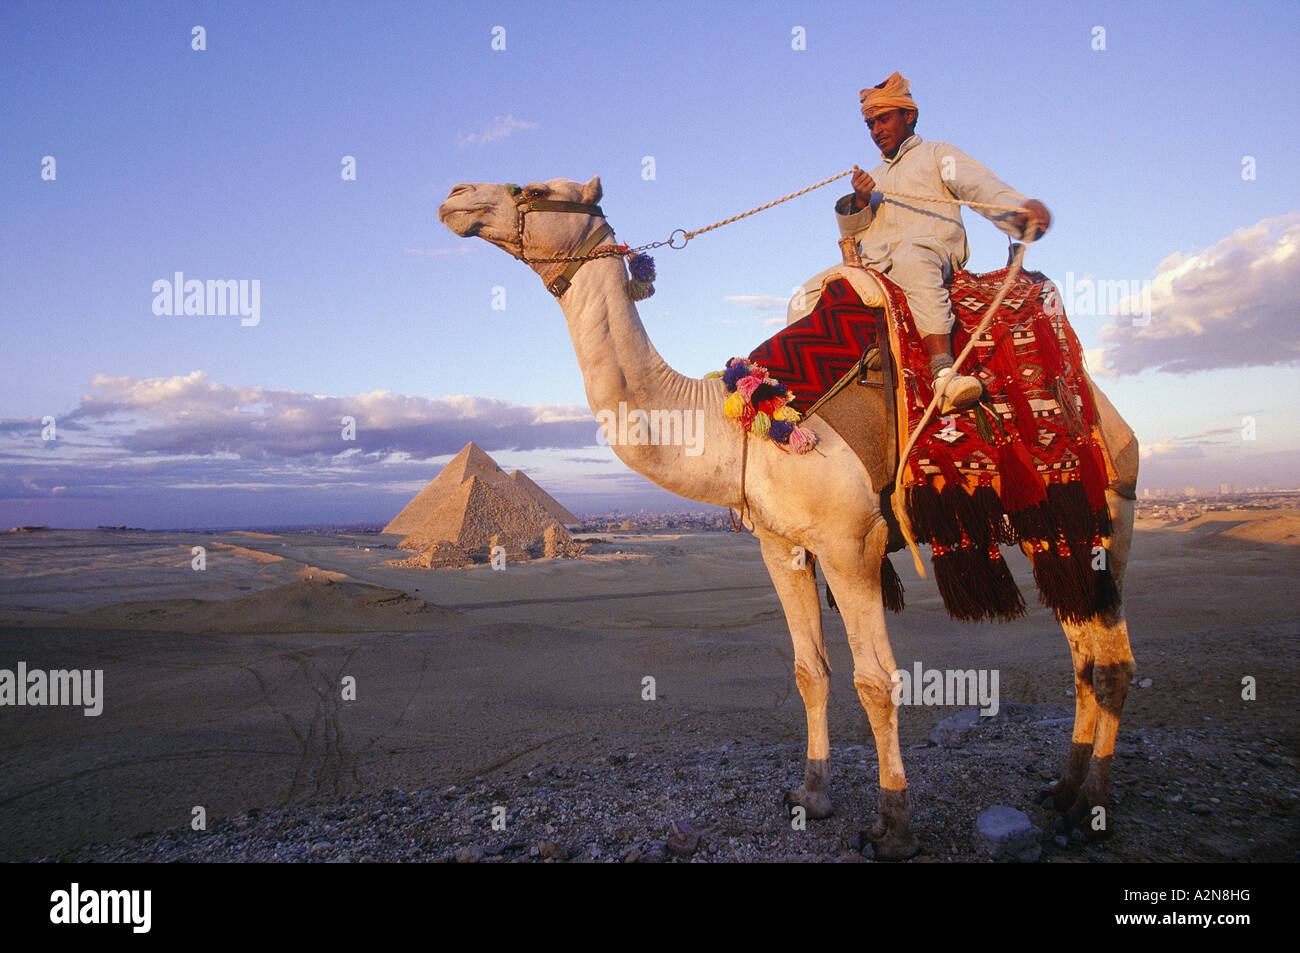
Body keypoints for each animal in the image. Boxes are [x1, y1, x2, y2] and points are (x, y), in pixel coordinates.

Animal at [438, 175, 1139, 859]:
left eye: (532, 190)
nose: (455, 197)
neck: (728, 423)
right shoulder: (781, 545)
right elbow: (810, 671)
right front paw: (812, 797)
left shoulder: (850, 541)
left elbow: (876, 681)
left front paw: (893, 827)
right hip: (1053, 527)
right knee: (1083, 650)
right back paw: (1062, 791)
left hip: (1105, 510)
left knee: (1111, 661)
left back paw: (1088, 811)